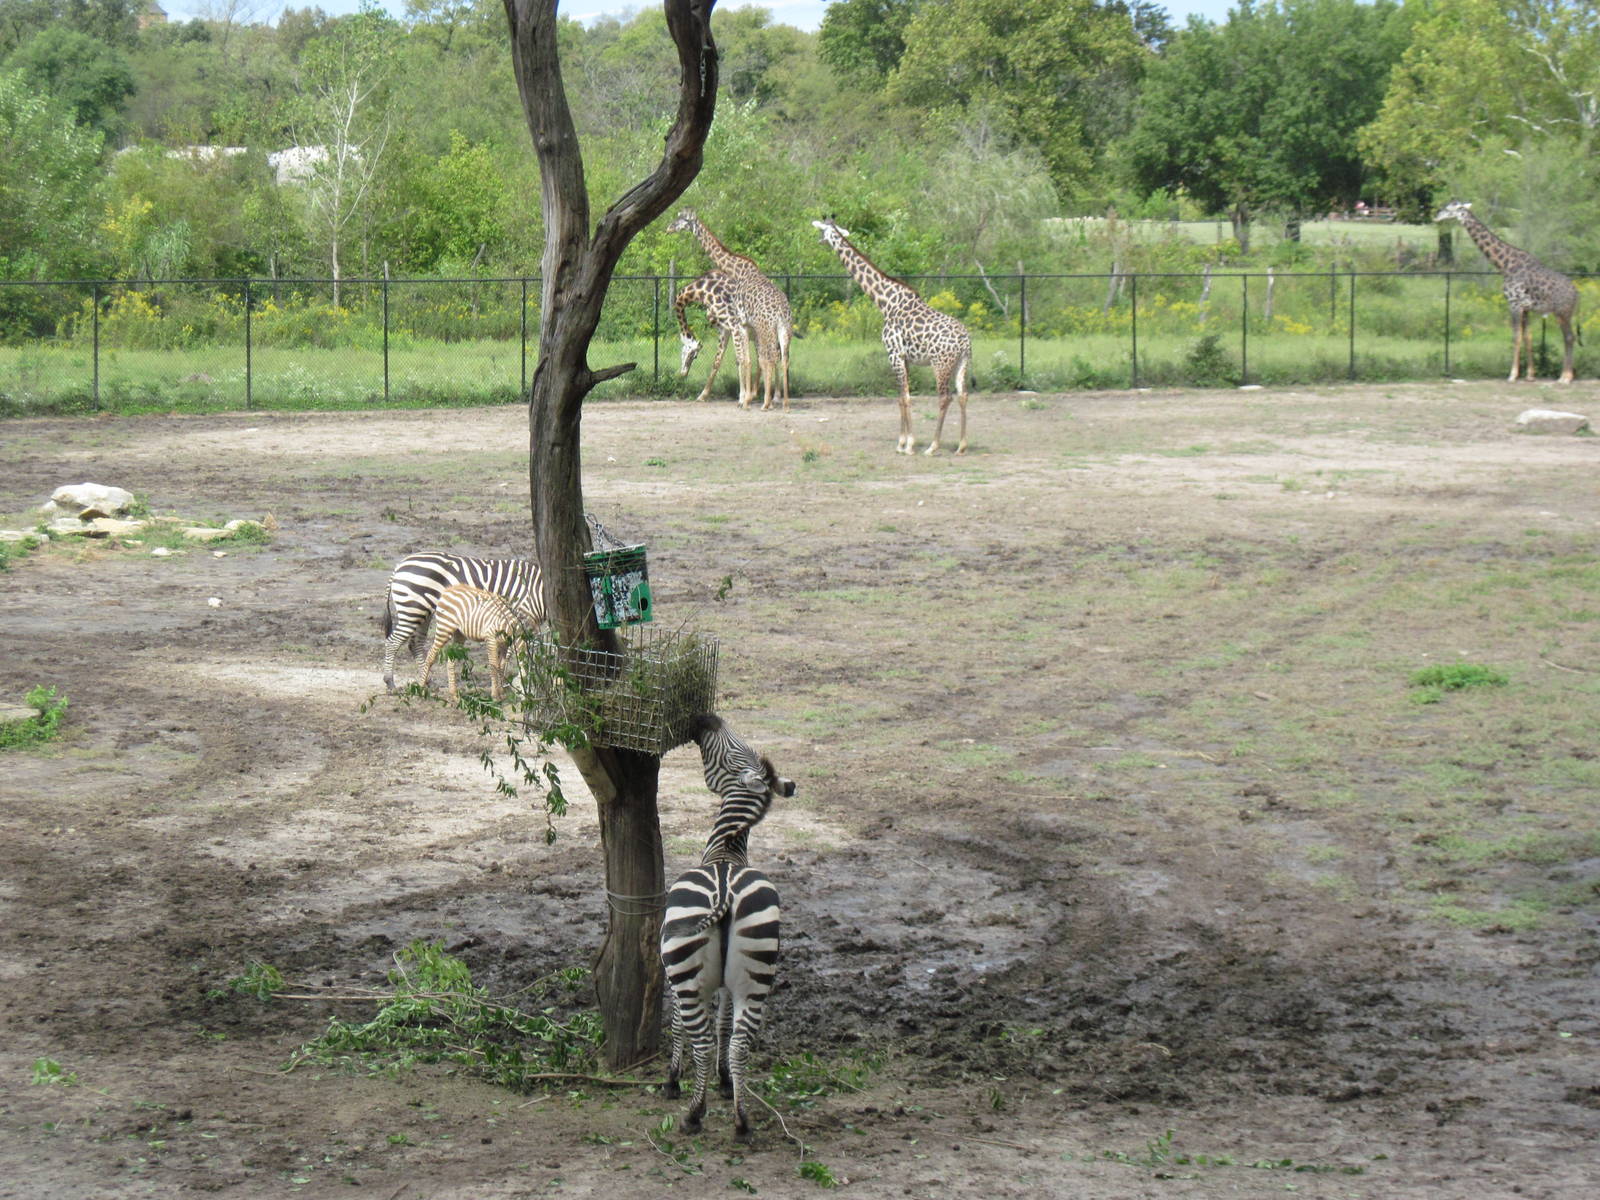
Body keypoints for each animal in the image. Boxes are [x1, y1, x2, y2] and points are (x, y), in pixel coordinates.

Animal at [381, 553, 545, 691]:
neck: (537, 591)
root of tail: (400, 565)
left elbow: (510, 652)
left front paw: (505, 681)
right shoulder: (522, 618)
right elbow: (519, 653)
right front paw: (517, 683)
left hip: (423, 612)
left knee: (415, 643)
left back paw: (427, 681)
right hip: (413, 608)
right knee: (393, 642)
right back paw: (390, 682)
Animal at [660, 714, 796, 1142]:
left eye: (734, 750)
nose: (706, 719)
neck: (725, 852)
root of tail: (724, 890)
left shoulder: (676, 976)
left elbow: (677, 1025)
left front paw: (673, 1079)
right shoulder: (725, 982)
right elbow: (723, 1023)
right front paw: (723, 1080)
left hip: (686, 970)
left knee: (701, 1040)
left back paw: (692, 1114)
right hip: (758, 969)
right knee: (739, 1043)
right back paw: (741, 1119)